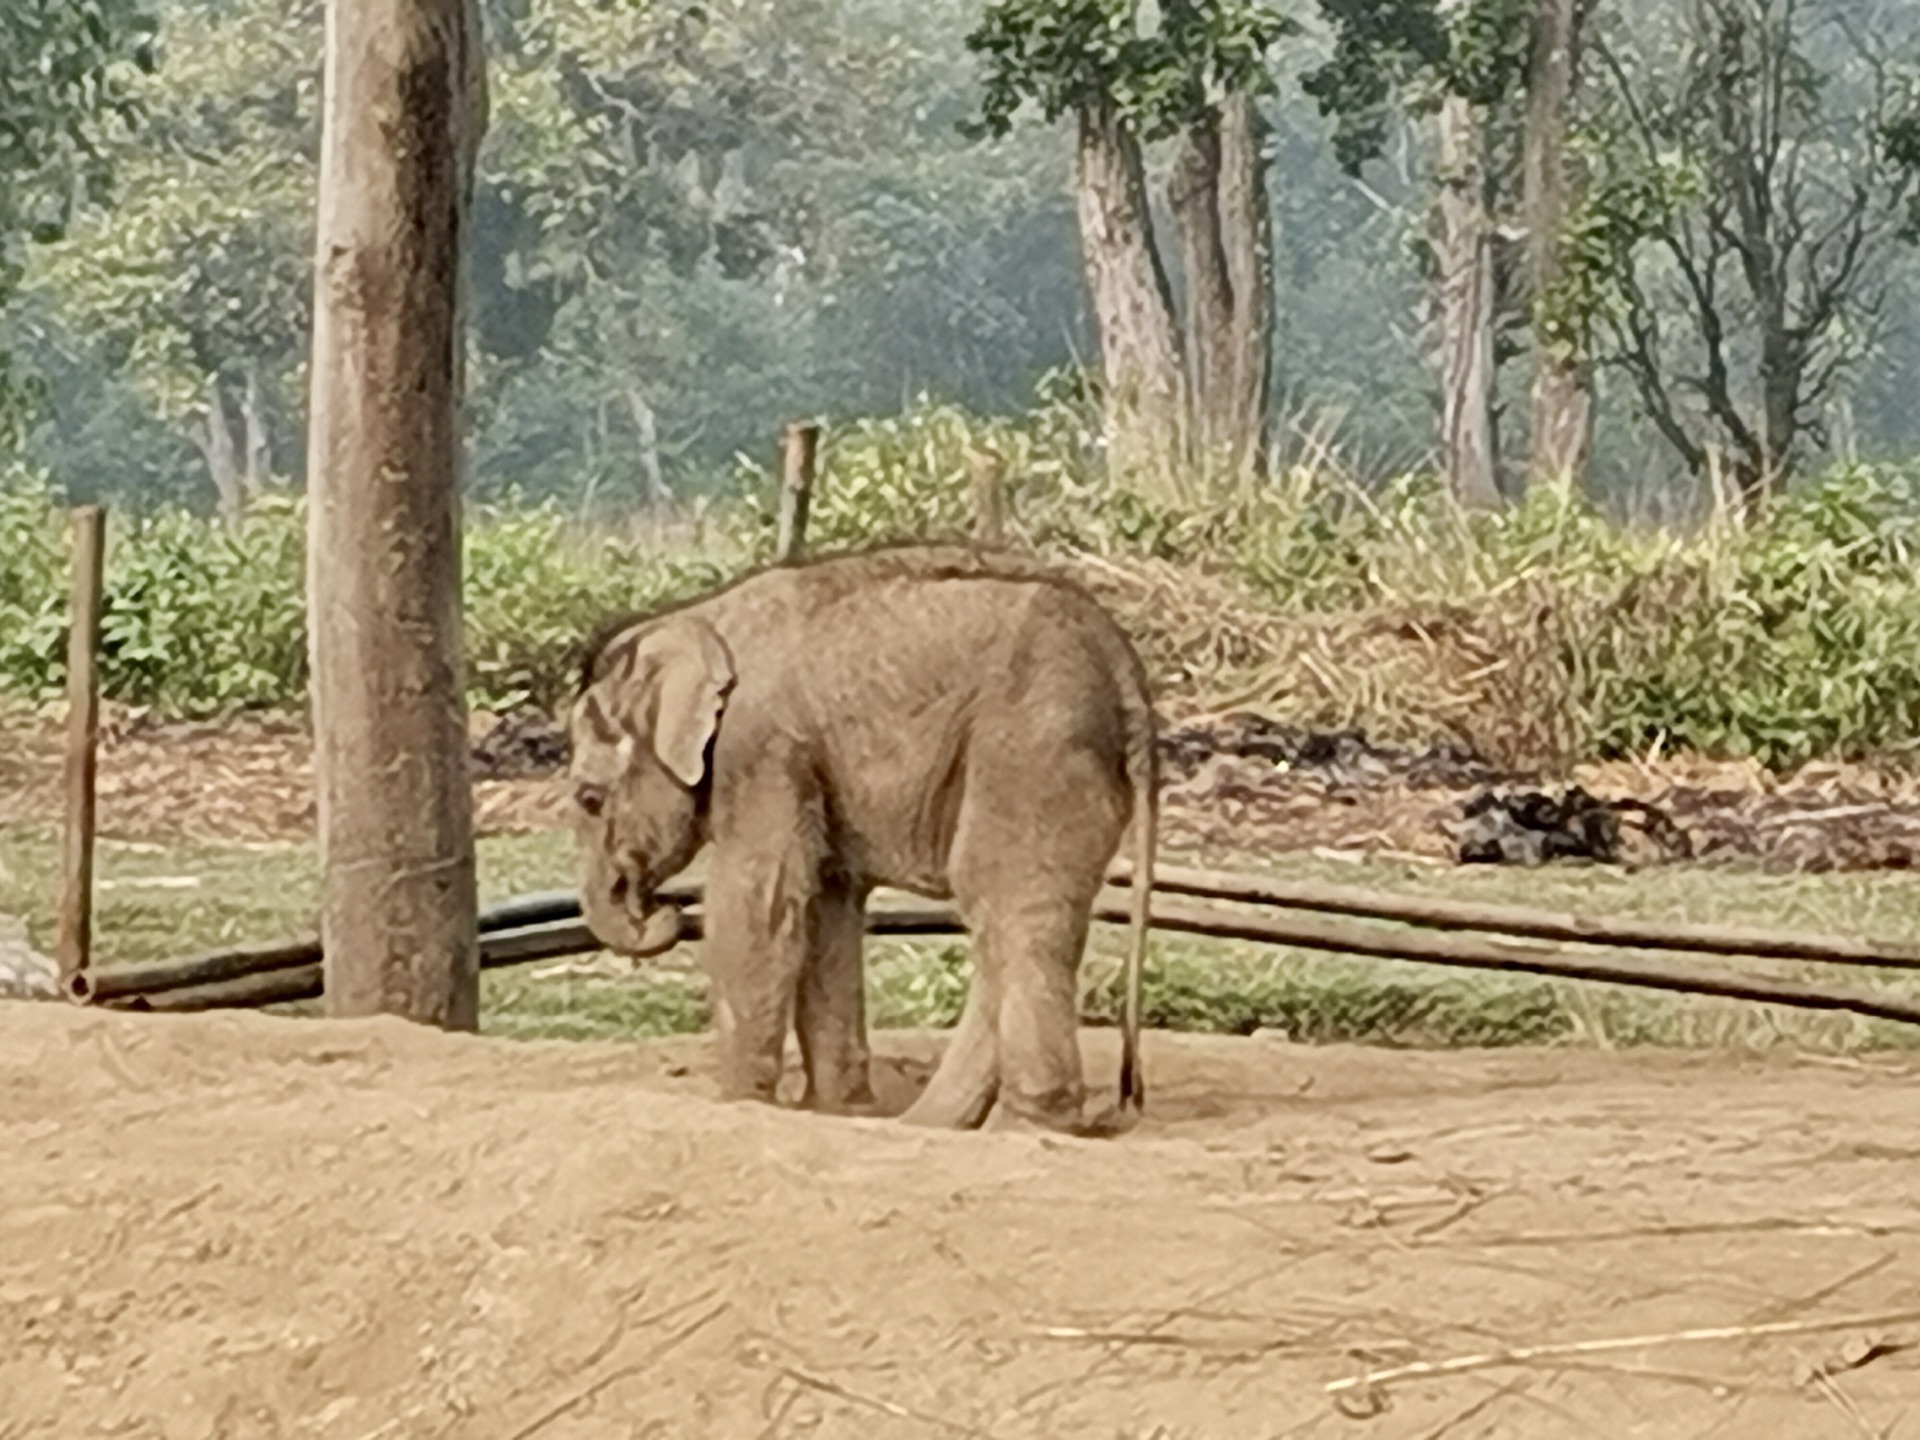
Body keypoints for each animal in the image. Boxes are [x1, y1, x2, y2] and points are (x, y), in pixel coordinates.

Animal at [568, 545, 1152, 1136]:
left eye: (588, 799)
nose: (659, 908)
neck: (696, 619)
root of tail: (1124, 669)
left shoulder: (759, 748)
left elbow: (760, 901)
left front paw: (737, 1102)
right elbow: (826, 906)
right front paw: (838, 1111)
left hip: (1030, 757)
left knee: (1009, 908)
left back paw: (1021, 1127)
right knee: (1013, 926)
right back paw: (935, 1121)